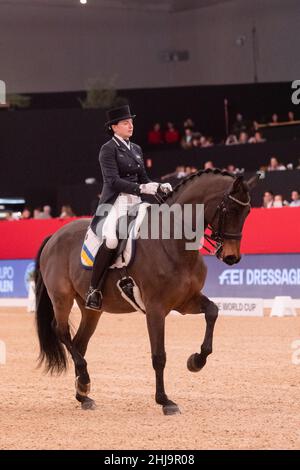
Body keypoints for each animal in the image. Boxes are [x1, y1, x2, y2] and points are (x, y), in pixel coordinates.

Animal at [34, 169, 256, 414]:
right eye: (229, 210)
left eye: (247, 212)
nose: (232, 257)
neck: (174, 241)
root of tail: (55, 235)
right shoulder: (155, 309)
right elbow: (159, 356)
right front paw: (165, 401)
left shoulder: (186, 301)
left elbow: (212, 312)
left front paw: (196, 361)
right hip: (62, 297)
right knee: (61, 331)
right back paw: (83, 381)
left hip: (91, 309)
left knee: (80, 342)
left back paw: (83, 393)